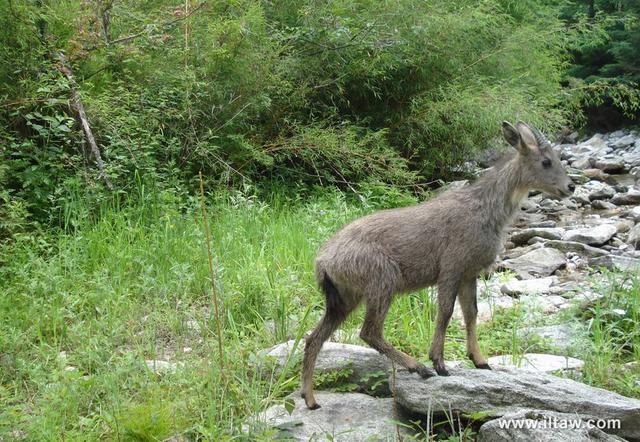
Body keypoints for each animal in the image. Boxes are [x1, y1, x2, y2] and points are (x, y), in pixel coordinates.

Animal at [300, 120, 576, 408]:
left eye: (557, 157)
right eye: (546, 161)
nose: (571, 187)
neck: (487, 213)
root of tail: (322, 263)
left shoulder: (469, 272)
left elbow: (471, 312)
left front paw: (480, 360)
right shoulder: (451, 266)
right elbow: (445, 312)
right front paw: (439, 363)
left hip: (344, 297)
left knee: (314, 337)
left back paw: (310, 398)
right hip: (381, 279)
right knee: (368, 331)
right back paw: (418, 367)